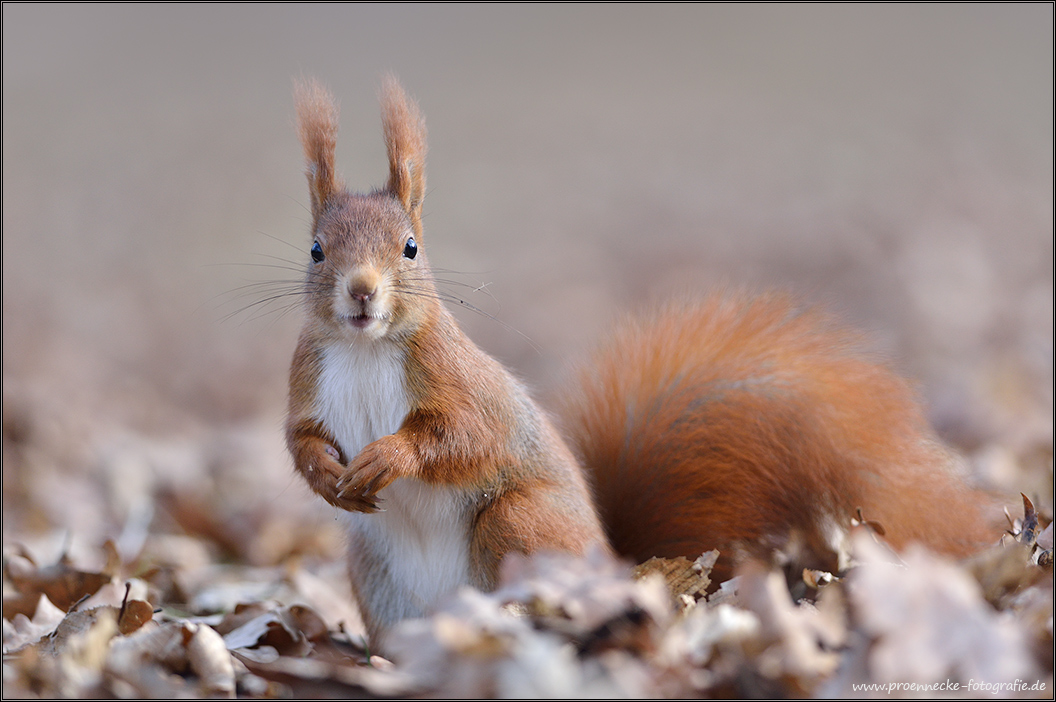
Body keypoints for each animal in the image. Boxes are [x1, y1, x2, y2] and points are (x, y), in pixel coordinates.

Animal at [285, 75, 1001, 646]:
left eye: (410, 247)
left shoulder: (457, 380)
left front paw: (387, 456)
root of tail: (615, 564)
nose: (361, 292)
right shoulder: (306, 379)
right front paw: (327, 475)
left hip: (522, 521)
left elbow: (466, 436)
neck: (363, 348)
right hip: (373, 570)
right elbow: (300, 439)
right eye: (317, 250)